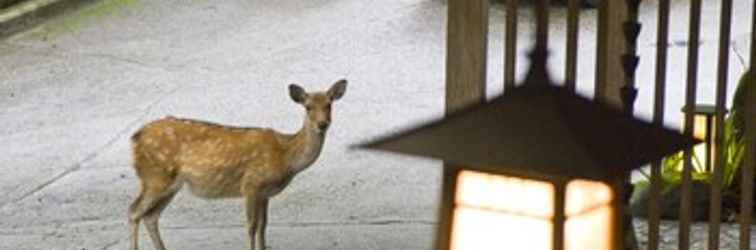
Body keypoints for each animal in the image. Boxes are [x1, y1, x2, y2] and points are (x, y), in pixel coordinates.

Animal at [127, 79, 348, 250]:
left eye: (329, 104)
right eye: (308, 106)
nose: (322, 124)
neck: (285, 156)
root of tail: (135, 138)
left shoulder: (265, 193)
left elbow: (264, 225)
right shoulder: (251, 184)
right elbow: (251, 226)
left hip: (170, 183)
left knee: (150, 216)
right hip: (155, 177)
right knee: (134, 211)